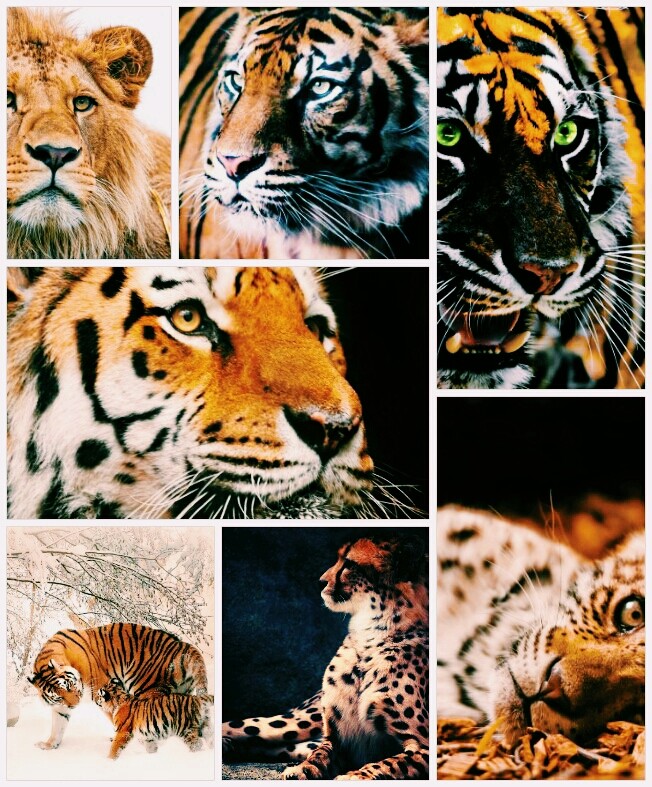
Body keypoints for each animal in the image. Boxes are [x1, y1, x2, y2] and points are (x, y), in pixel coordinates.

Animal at [27, 623, 208, 750]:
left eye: (69, 685)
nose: (75, 704)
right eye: (58, 696)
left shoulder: (102, 692)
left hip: (147, 688)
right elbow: (58, 725)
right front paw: (49, 745)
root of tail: (183, 646)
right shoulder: (61, 707)